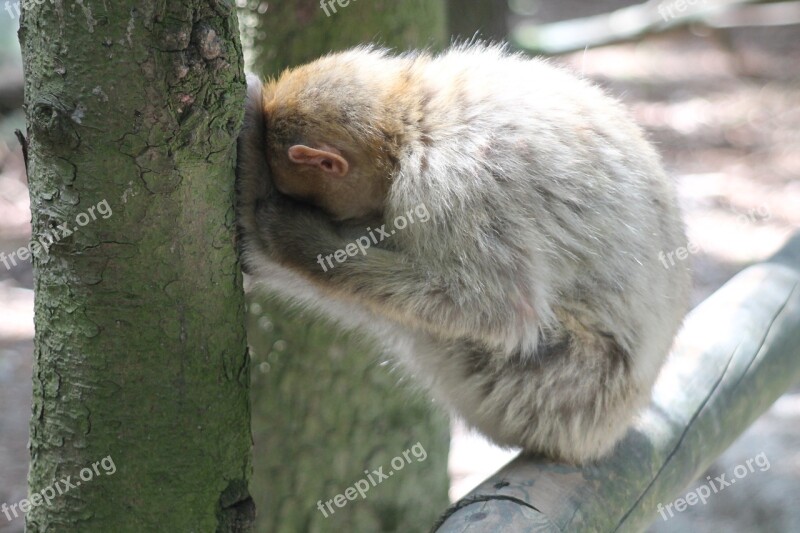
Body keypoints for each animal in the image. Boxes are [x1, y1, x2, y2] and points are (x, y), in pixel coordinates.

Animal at [236, 44, 688, 462]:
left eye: (301, 192)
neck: (410, 117)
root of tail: (609, 431)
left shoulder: (452, 187)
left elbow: (493, 309)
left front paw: (287, 231)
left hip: (558, 395)